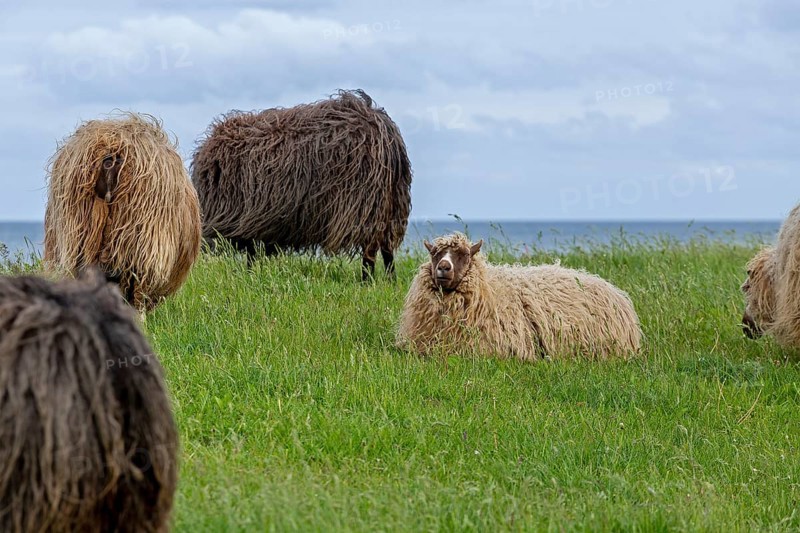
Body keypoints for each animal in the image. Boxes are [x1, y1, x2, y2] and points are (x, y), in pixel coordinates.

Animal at [191, 89, 413, 279]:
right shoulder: (256, 223)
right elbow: (252, 255)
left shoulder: (252, 219)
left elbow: (251, 255)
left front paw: (249, 276)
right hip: (390, 205)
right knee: (386, 249)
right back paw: (390, 281)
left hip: (366, 205)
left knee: (370, 251)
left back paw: (366, 282)